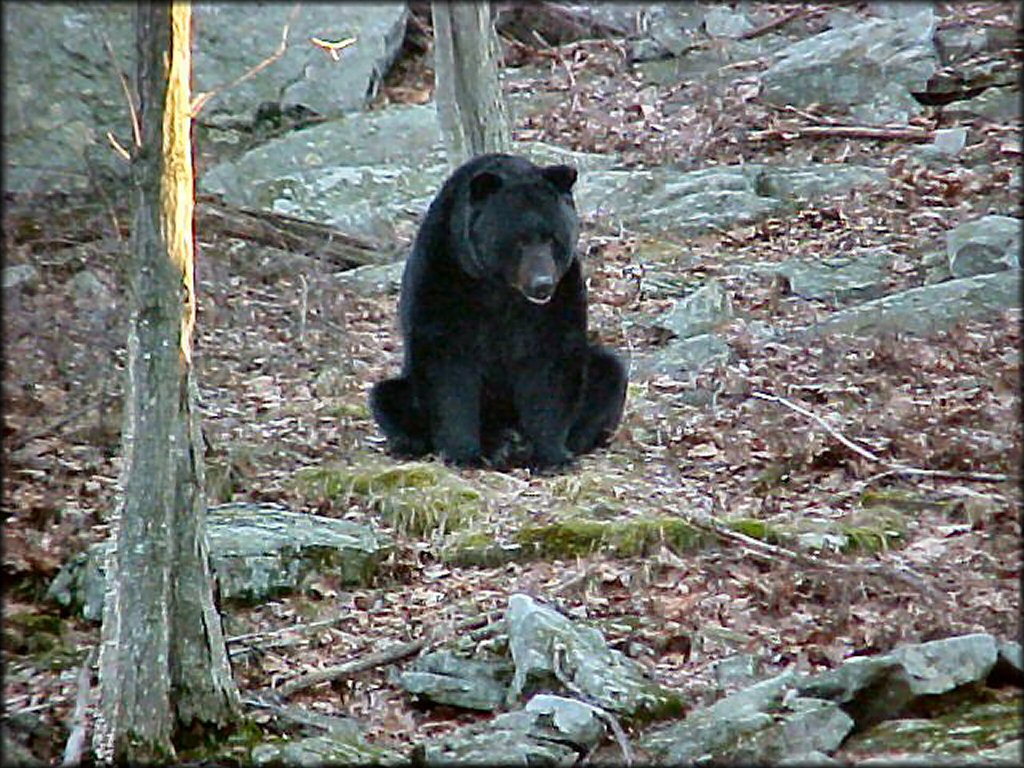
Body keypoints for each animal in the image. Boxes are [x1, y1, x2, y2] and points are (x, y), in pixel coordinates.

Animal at [368, 151, 622, 468]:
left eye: (552, 237)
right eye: (520, 239)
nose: (542, 284)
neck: (500, 287)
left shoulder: (561, 293)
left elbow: (552, 363)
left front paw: (551, 455)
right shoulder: (443, 274)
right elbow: (446, 365)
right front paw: (463, 453)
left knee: (608, 372)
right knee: (387, 396)